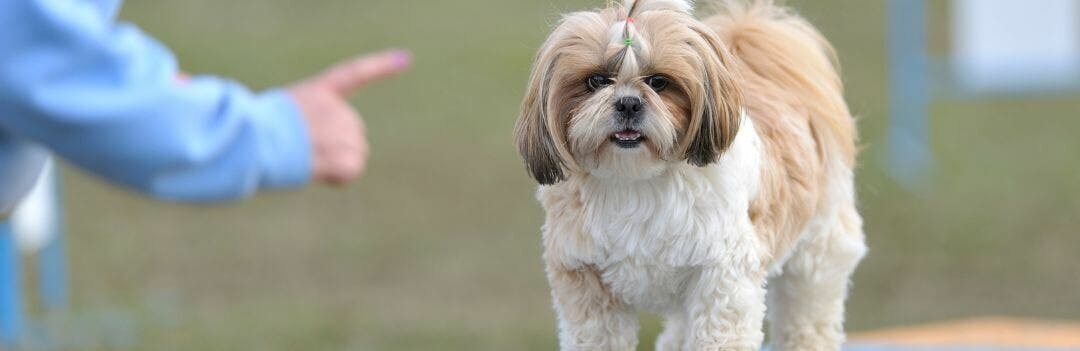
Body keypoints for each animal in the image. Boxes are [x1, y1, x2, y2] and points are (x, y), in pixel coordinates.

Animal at [514, 1, 868, 347]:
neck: (636, 180)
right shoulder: (585, 278)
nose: (628, 103)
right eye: (597, 81)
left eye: (658, 82)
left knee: (808, 316)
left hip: (818, 254)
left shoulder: (722, 278)